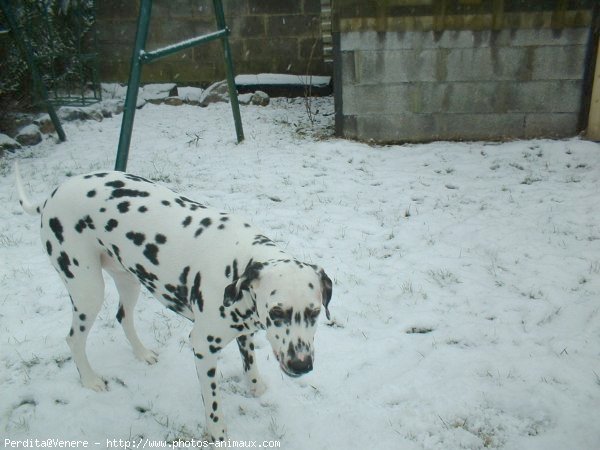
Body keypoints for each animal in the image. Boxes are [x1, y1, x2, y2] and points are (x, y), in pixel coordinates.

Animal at [15, 163, 332, 442]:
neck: (239, 260)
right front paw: (218, 434)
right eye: (277, 312)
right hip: (87, 290)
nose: (301, 365)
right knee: (74, 339)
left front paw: (255, 388)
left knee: (123, 317)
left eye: (314, 313)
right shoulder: (203, 347)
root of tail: (52, 195)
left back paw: (142, 354)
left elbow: (250, 361)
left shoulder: (244, 328)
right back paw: (90, 380)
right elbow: (213, 404)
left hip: (129, 280)